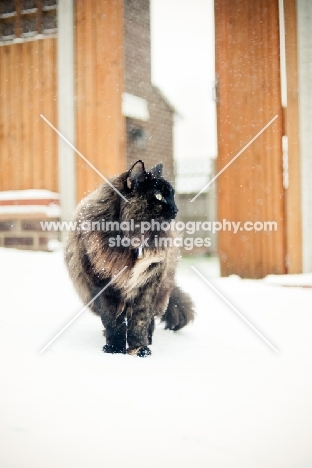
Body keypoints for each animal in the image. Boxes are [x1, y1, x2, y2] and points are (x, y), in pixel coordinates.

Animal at [64, 159, 194, 356]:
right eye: (158, 196)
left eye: (171, 195)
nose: (175, 209)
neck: (133, 241)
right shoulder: (103, 285)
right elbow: (113, 321)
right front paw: (114, 348)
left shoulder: (147, 284)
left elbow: (140, 321)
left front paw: (139, 348)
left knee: (150, 320)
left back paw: (148, 340)